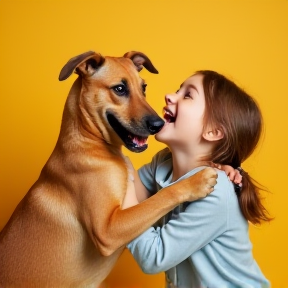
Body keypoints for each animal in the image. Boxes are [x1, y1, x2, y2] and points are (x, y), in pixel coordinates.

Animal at [0, 50, 216, 286]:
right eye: (119, 89)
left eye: (144, 88)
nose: (158, 125)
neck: (88, 142)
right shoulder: (107, 230)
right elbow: (163, 195)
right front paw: (197, 181)